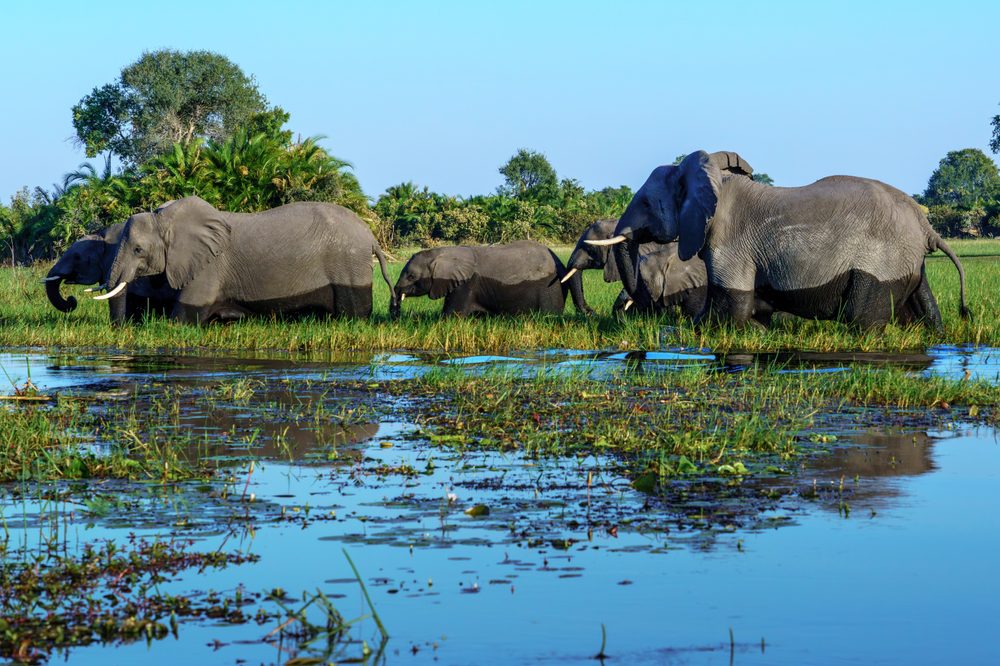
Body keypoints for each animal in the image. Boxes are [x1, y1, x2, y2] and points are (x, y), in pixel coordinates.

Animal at [95, 196, 395, 324]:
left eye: (138, 250)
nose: (120, 329)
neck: (167, 218)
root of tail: (370, 235)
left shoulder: (210, 267)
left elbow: (184, 315)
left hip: (348, 263)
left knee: (352, 312)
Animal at [390, 240, 588, 317]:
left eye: (411, 276)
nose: (397, 318)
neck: (441, 253)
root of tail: (560, 264)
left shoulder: (466, 285)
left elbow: (452, 315)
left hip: (550, 288)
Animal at [595, 150, 969, 329]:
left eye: (646, 204)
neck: (715, 181)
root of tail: (926, 227)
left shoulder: (730, 242)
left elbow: (731, 307)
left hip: (880, 260)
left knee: (863, 320)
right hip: (906, 261)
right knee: (922, 307)